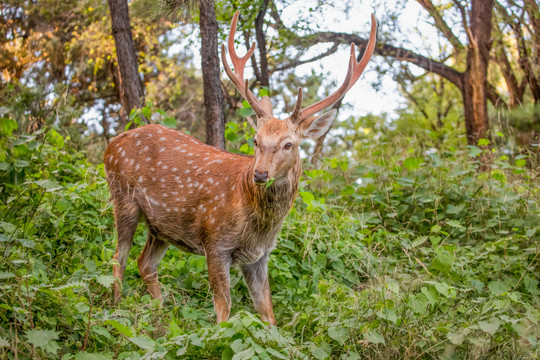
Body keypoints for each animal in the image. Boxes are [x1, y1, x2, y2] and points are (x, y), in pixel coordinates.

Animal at [104, 11, 376, 326]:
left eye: (288, 144)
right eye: (256, 140)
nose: (260, 174)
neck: (257, 225)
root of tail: (111, 144)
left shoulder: (260, 256)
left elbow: (268, 314)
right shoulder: (214, 241)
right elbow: (224, 312)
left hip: (161, 226)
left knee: (144, 262)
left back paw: (159, 315)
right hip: (123, 197)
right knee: (119, 257)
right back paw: (115, 308)